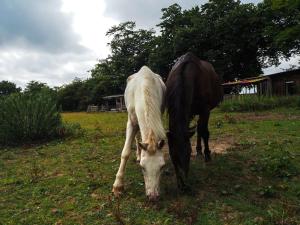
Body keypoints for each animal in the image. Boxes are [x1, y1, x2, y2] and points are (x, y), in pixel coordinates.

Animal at [112, 65, 166, 200]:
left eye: (162, 166)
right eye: (142, 167)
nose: (153, 196)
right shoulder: (131, 122)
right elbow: (125, 153)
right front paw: (118, 187)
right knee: (137, 138)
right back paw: (138, 154)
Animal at [165, 52, 224, 188]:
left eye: (188, 152)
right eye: (172, 155)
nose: (183, 184)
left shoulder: (205, 109)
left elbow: (204, 132)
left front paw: (207, 155)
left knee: (201, 129)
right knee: (198, 127)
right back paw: (198, 150)